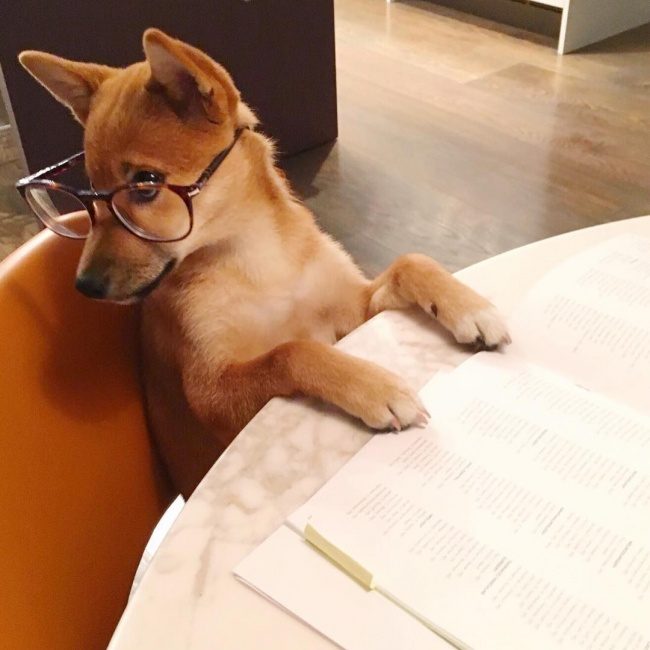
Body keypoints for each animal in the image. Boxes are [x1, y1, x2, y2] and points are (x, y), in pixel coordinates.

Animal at [19, 29, 510, 498]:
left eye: (145, 184)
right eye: (90, 193)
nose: (85, 286)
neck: (255, 258)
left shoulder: (351, 314)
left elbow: (410, 262)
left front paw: (469, 307)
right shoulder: (211, 394)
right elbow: (291, 351)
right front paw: (373, 386)